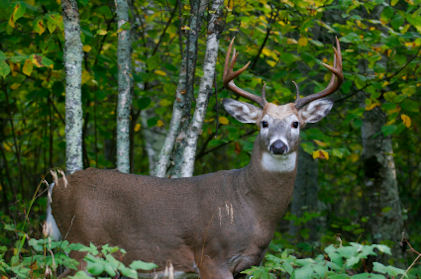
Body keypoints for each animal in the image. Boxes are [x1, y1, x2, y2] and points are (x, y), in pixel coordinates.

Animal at [47, 37, 342, 279]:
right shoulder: (211, 256)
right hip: (82, 243)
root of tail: (55, 186)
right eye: (264, 123)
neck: (251, 205)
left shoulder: (249, 264)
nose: (278, 146)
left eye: (296, 123)